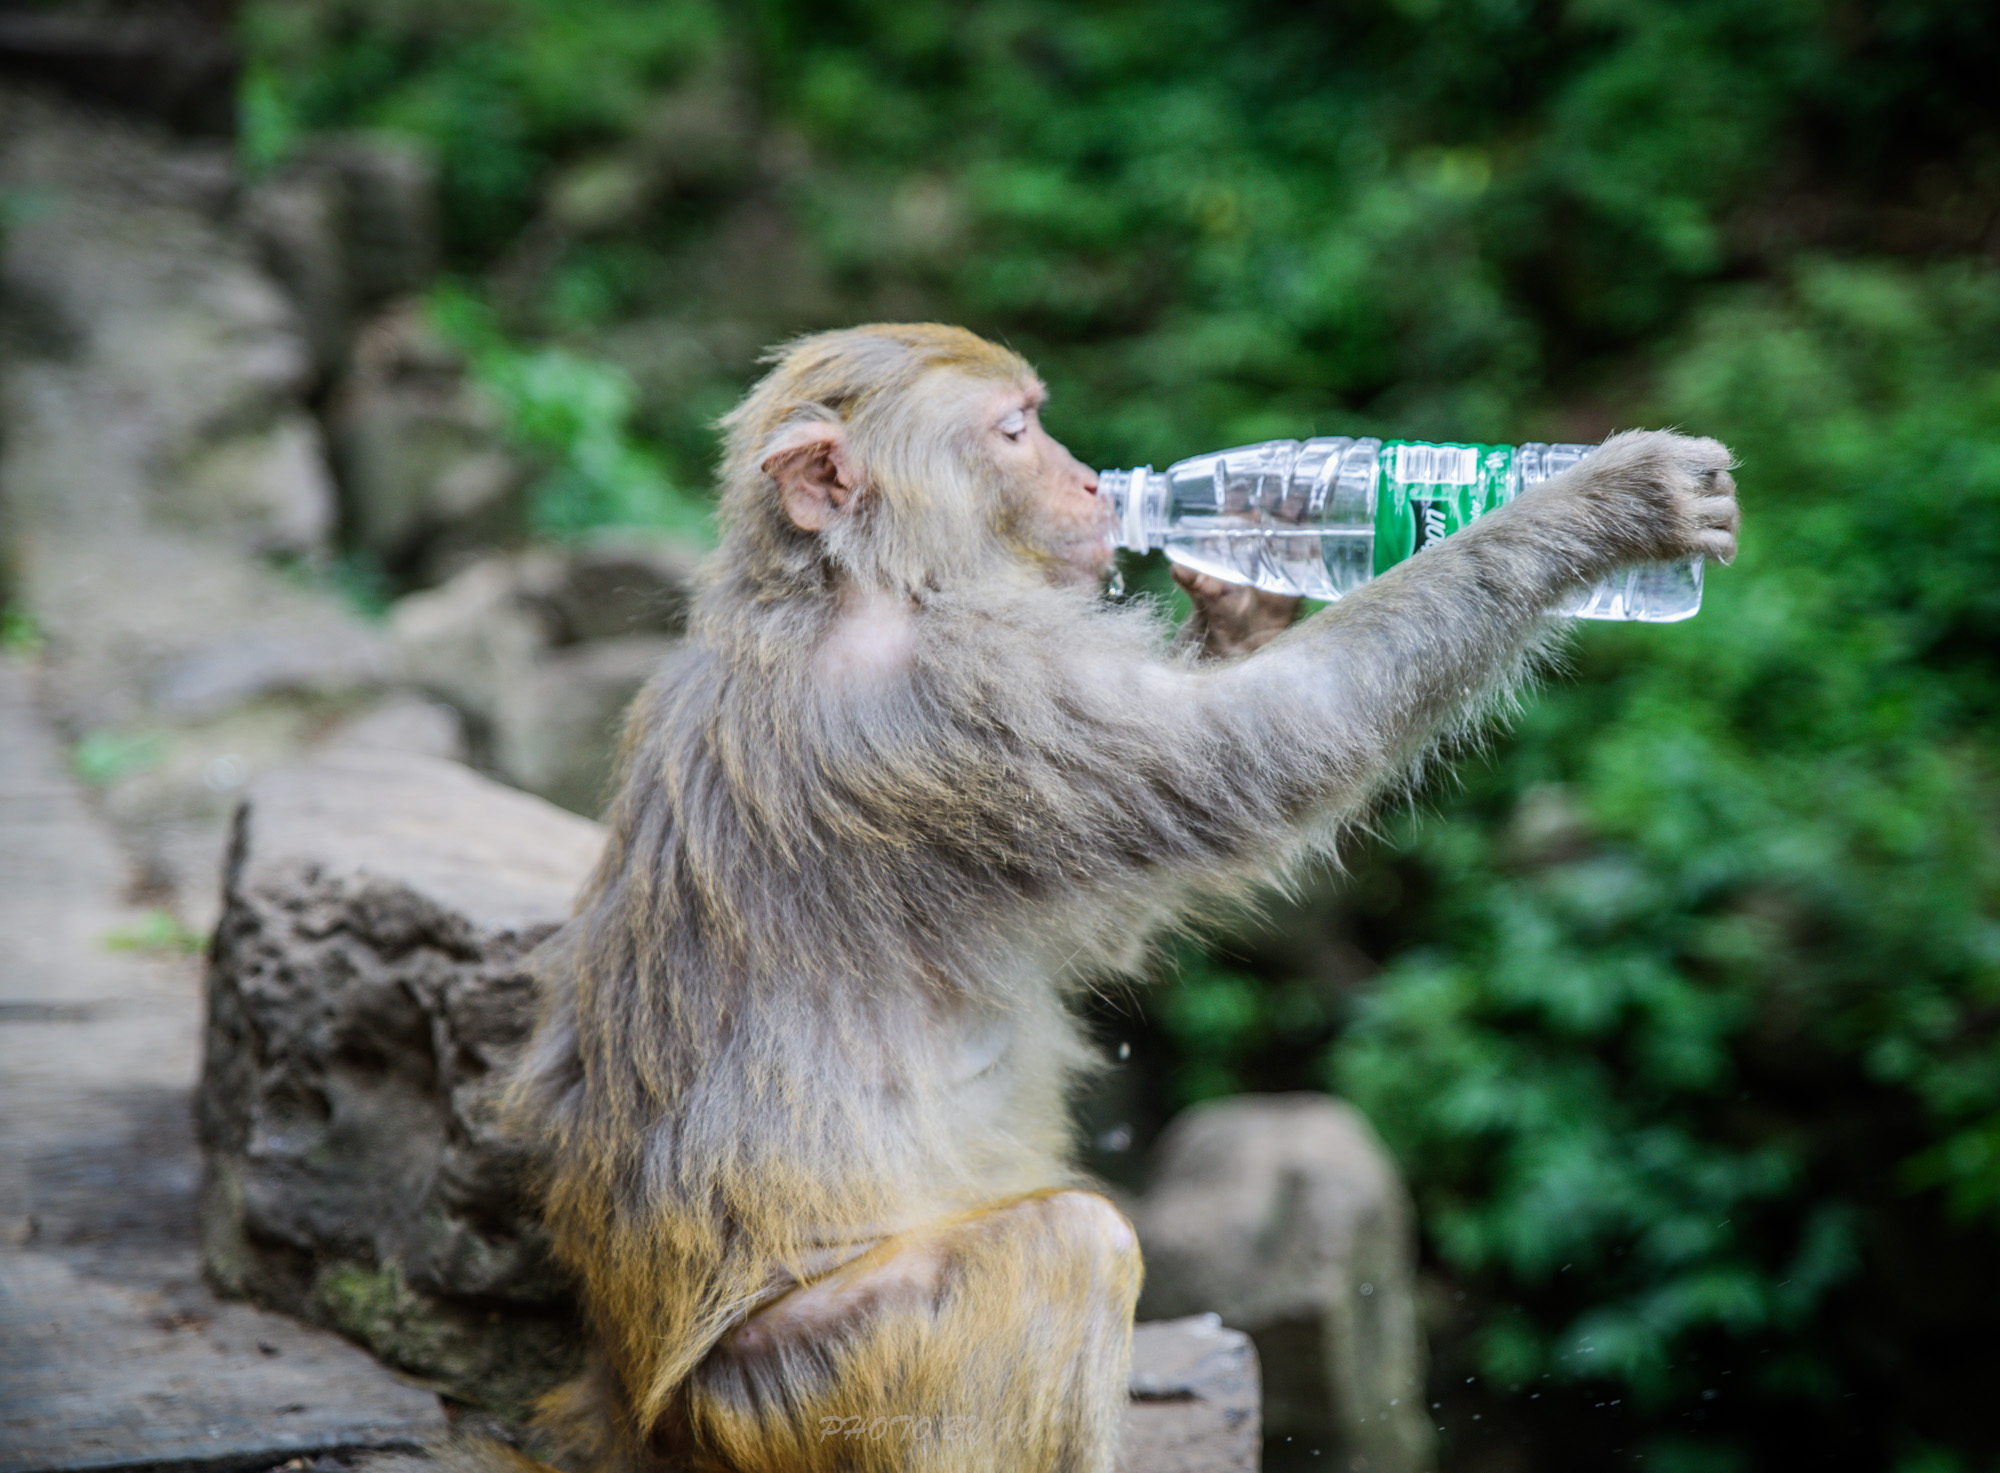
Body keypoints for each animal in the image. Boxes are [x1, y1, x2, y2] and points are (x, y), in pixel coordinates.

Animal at [492, 324, 1744, 1473]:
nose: (1099, 484)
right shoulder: (962, 697)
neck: (852, 585)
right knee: (1069, 1248)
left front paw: (1242, 594)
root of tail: (640, 1409)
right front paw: (1598, 504)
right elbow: (1261, 756)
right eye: (1013, 431)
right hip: (804, 1385)